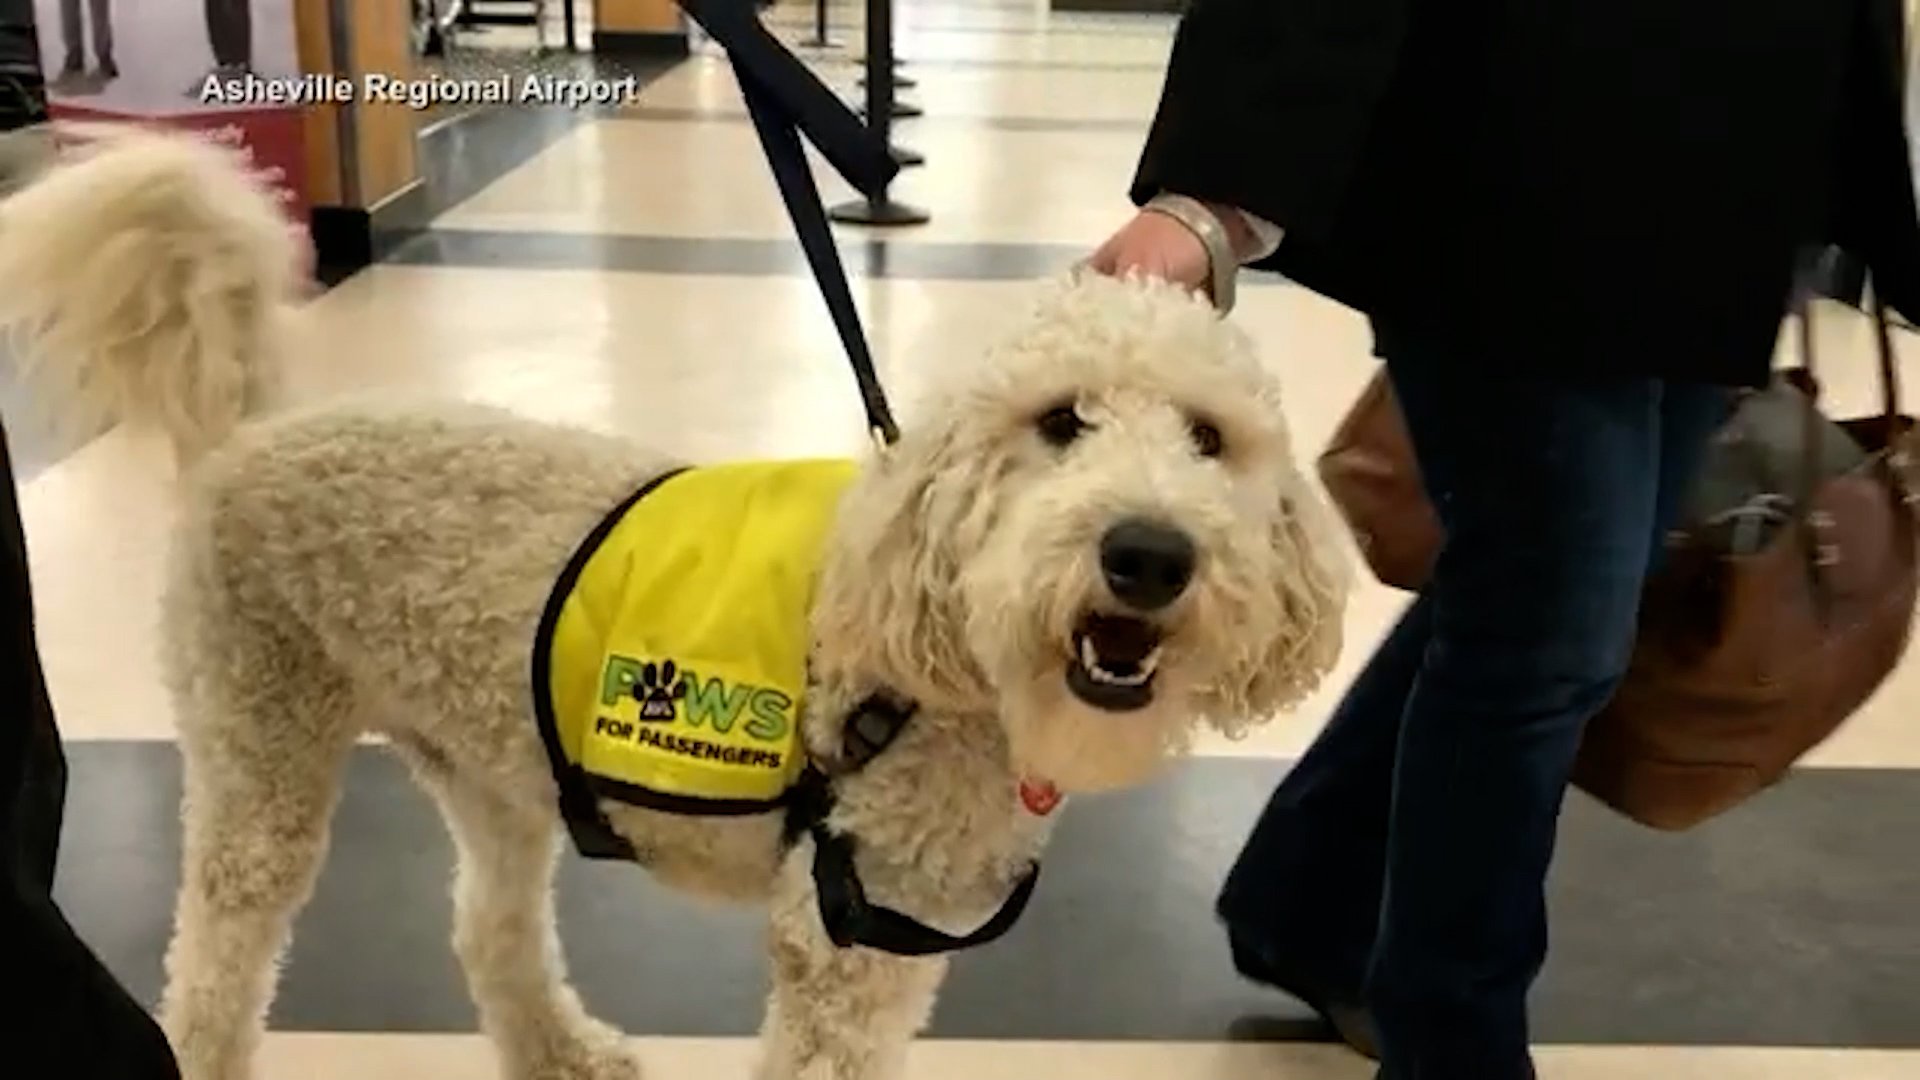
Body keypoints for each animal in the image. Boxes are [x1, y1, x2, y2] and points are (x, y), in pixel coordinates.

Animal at [0, 127, 1351, 1076]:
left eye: (1209, 439)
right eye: (1061, 423)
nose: (1150, 553)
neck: (943, 674)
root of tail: (254, 432)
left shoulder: (898, 942)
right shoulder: (840, 941)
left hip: (493, 776)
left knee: (487, 929)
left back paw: (560, 1050)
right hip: (257, 745)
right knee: (214, 966)